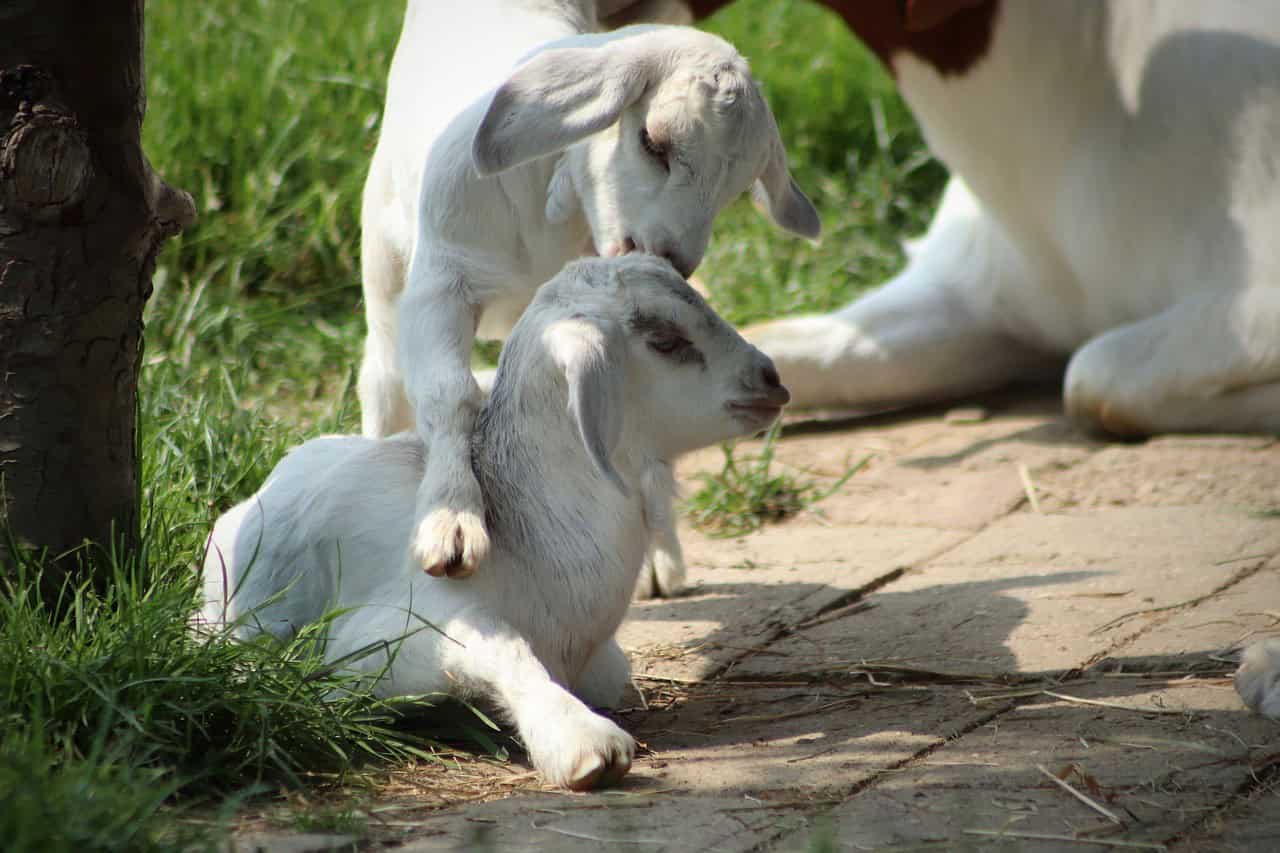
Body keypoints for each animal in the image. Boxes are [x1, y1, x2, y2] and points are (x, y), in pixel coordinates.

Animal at [358, 0, 819, 591]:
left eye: (736, 190)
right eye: (653, 142)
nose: (670, 257)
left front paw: (655, 551)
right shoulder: (441, 280)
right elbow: (450, 394)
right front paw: (451, 524)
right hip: (383, 263)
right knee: (384, 377)